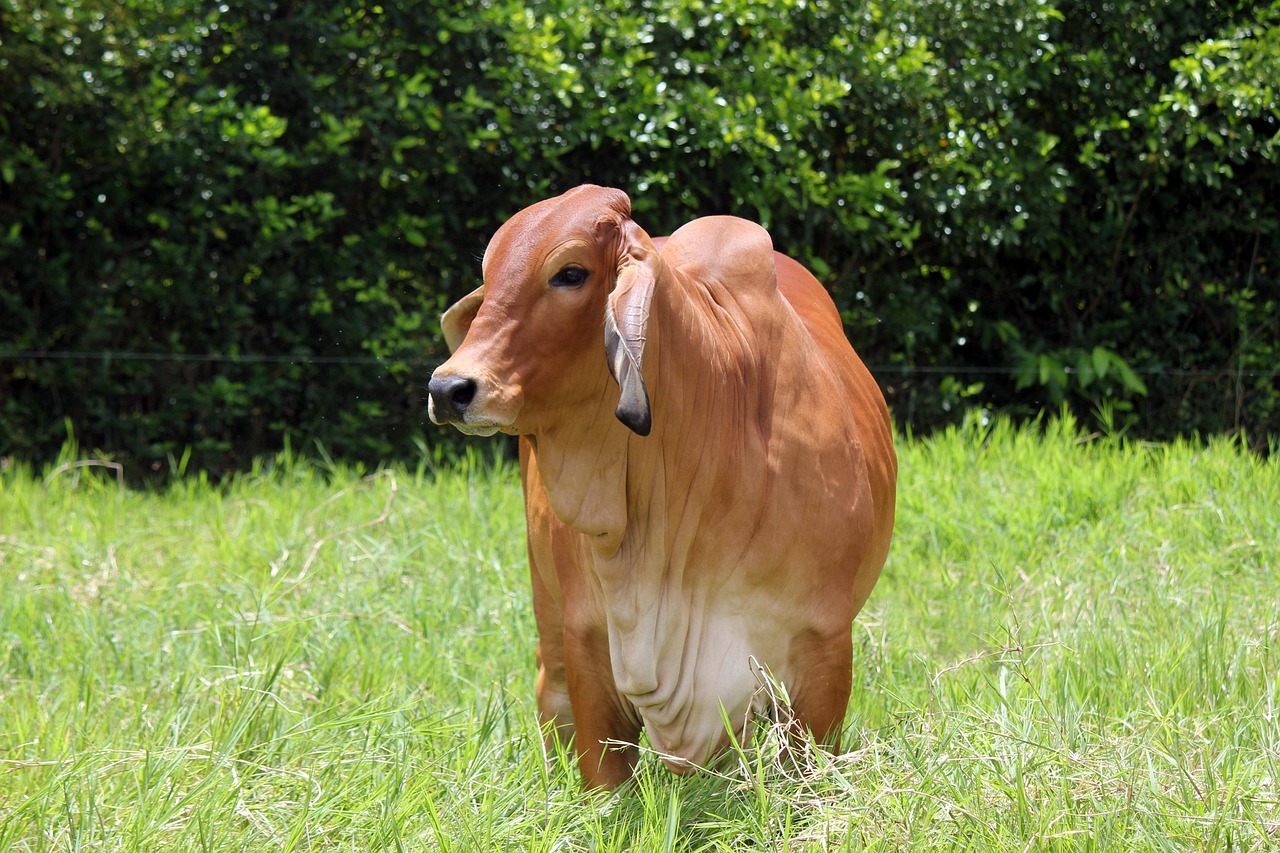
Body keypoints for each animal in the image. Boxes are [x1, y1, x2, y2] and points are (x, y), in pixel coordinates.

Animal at [427, 185, 896, 789]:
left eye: (570, 273)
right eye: (489, 275)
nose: (448, 388)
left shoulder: (823, 649)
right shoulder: (589, 645)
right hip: (547, 602)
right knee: (549, 691)